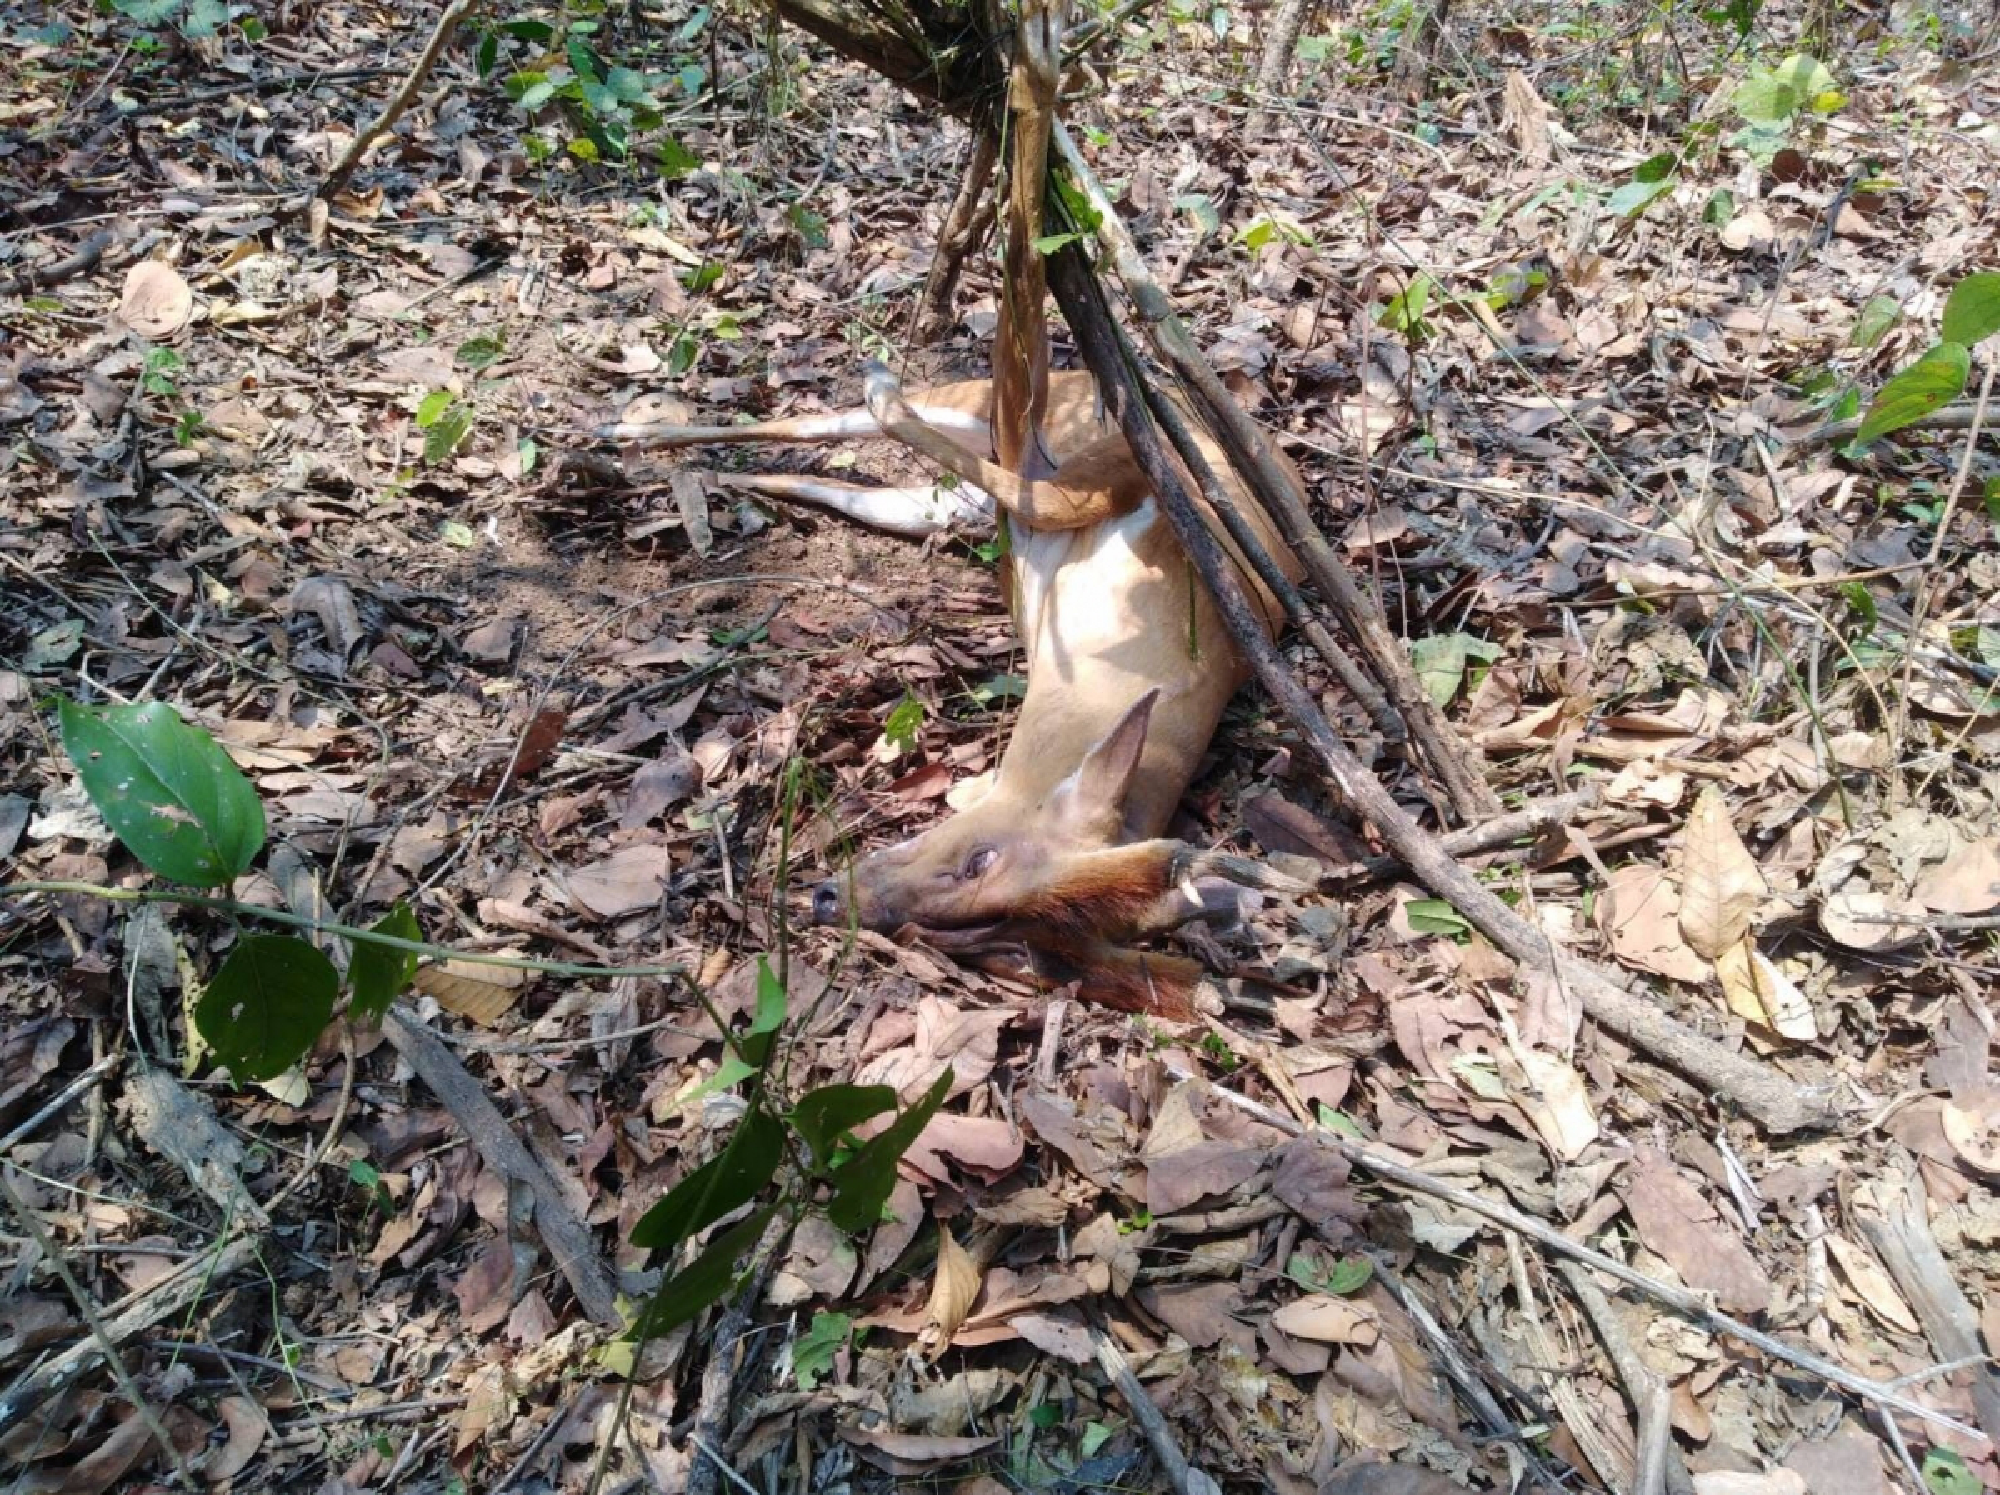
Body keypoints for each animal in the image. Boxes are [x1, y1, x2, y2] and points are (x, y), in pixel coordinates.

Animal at [603, 0, 1304, 1017]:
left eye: (998, 940)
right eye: (978, 860)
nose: (831, 897)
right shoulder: (1101, 477)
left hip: (948, 504)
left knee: (850, 475)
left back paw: (713, 478)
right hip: (999, 416)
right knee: (851, 406)